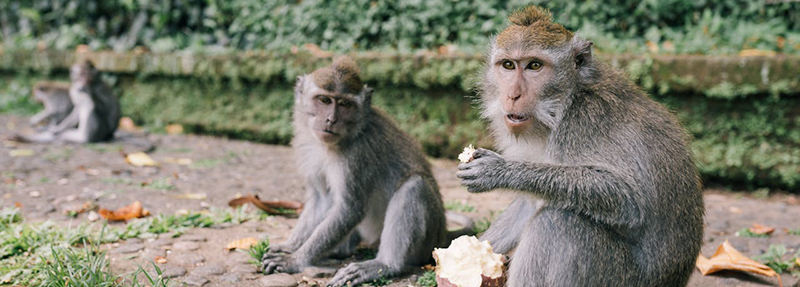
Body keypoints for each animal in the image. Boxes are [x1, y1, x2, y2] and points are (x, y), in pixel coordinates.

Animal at [260, 56, 454, 287]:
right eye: (324, 100)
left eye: (345, 104)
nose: (331, 120)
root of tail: (443, 235)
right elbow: (321, 199)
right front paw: (290, 246)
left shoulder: (357, 155)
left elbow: (349, 208)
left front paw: (294, 260)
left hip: (427, 241)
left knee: (415, 186)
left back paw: (384, 264)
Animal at [456, 6, 708, 287]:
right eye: (508, 65)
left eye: (534, 66)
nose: (512, 95)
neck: (564, 102)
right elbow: (529, 203)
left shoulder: (581, 123)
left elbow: (630, 201)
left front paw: (498, 171)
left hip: (620, 276)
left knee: (561, 222)